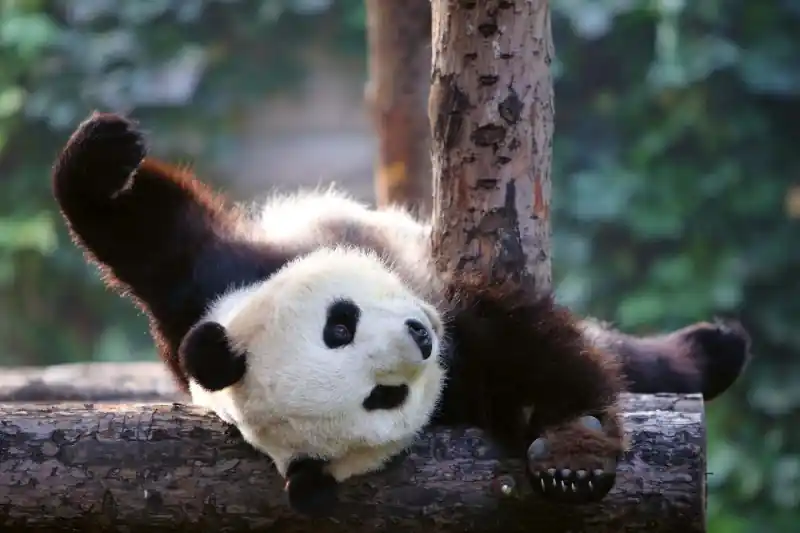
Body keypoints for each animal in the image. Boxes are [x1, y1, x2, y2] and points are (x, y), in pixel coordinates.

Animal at [52, 112, 751, 516]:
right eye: (380, 397)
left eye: (339, 324)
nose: (420, 338)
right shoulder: (456, 387)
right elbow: (514, 361)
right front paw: (571, 460)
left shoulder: (212, 288)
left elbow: (150, 237)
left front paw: (101, 154)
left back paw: (716, 348)